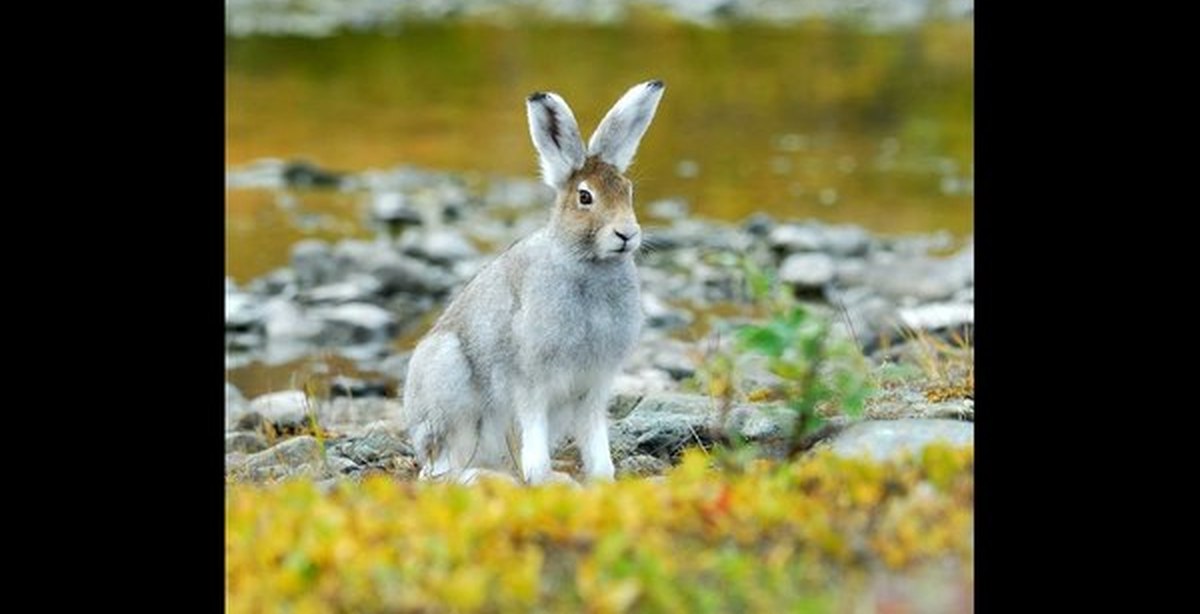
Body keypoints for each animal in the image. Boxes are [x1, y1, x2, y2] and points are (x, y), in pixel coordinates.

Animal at [402, 79, 666, 485]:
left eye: (628, 190)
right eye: (585, 197)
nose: (627, 234)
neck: (589, 264)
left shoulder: (594, 386)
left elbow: (595, 441)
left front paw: (602, 479)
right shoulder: (531, 381)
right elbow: (534, 434)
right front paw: (542, 478)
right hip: (447, 381)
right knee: (440, 468)